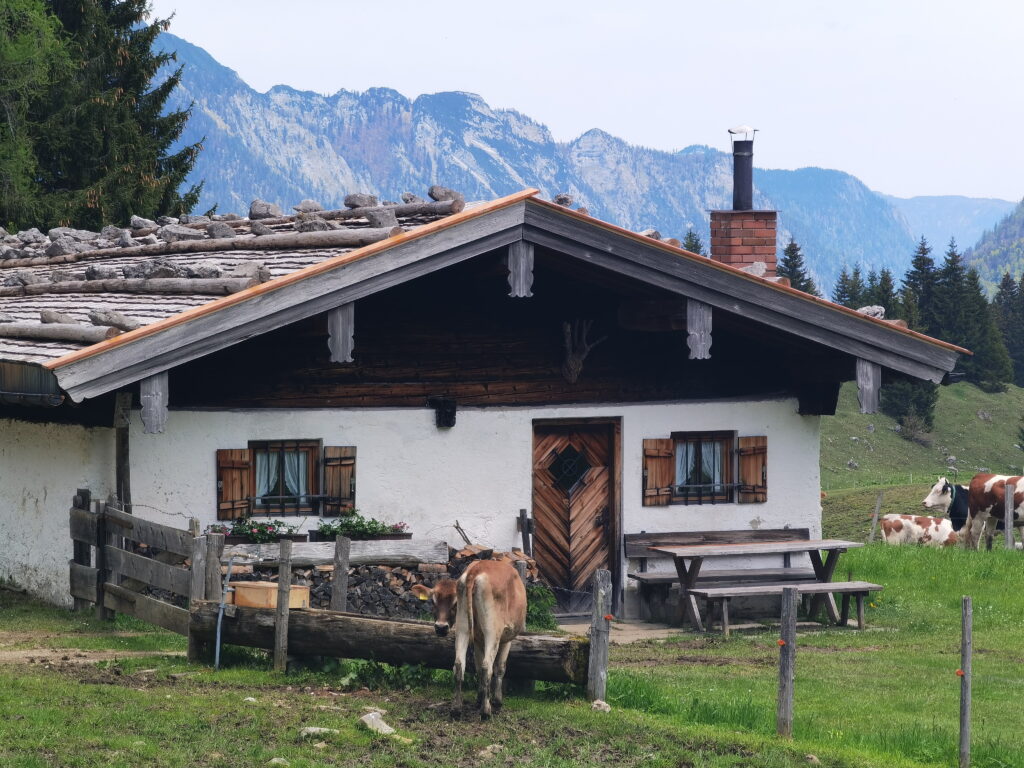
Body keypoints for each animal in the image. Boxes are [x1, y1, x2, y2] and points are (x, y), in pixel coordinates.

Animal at [409, 561, 528, 720]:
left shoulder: (477, 639)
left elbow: (477, 667)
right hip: (492, 632)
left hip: (462, 628)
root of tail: (476, 569)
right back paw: (486, 711)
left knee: (459, 665)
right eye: (433, 602)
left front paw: (479, 698)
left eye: (454, 604)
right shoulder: (505, 639)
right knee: (487, 667)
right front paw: (496, 701)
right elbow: (500, 668)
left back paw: (456, 709)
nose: (440, 627)